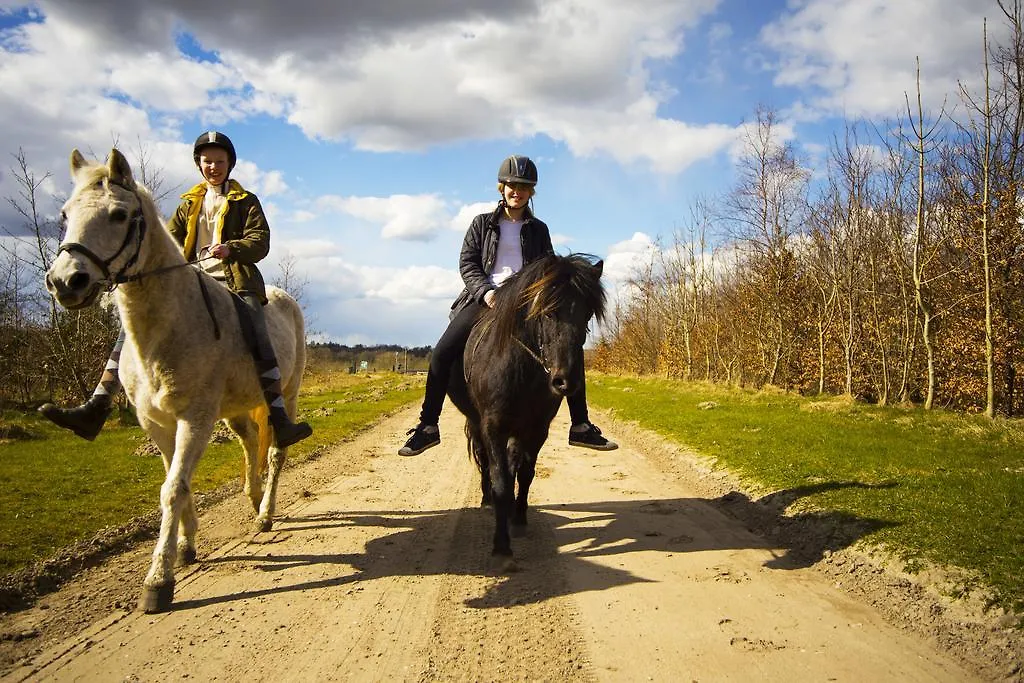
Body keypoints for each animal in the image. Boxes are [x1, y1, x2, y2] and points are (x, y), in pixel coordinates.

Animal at [45, 150, 307, 614]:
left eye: (119, 214)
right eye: (65, 214)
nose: (64, 282)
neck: (169, 325)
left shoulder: (195, 420)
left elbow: (174, 488)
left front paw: (158, 580)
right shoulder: (156, 423)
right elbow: (173, 483)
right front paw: (185, 547)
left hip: (287, 395)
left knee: (276, 451)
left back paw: (265, 513)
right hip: (237, 408)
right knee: (249, 441)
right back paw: (253, 496)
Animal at [446, 253, 598, 557]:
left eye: (587, 314)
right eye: (548, 312)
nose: (566, 381)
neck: (521, 369)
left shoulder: (537, 428)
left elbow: (525, 473)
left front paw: (518, 519)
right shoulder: (493, 426)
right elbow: (501, 480)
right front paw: (501, 543)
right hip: (477, 422)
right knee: (484, 459)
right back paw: (486, 499)